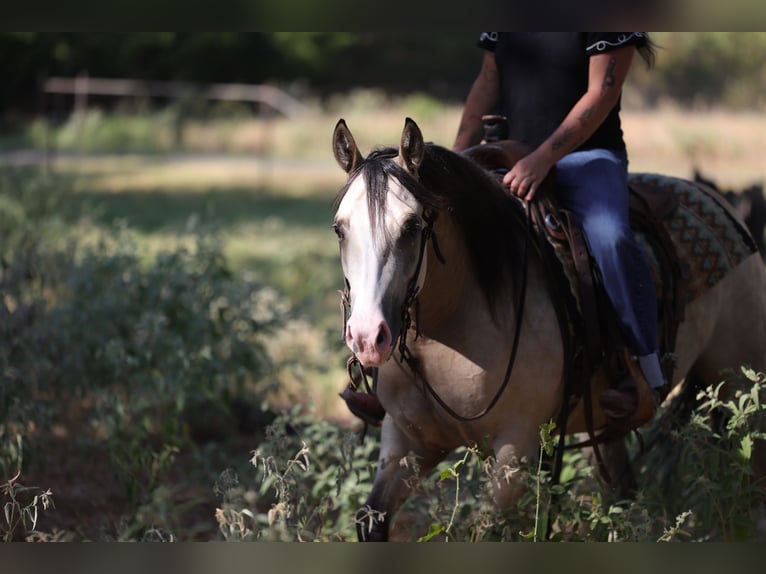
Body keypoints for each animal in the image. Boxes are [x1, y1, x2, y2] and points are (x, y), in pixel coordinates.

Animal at [331, 117, 766, 541]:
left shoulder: (515, 448)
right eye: (339, 228)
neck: (447, 329)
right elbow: (370, 519)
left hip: (738, 386)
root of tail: (720, 202)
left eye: (411, 226)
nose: (368, 337)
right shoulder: (406, 442)